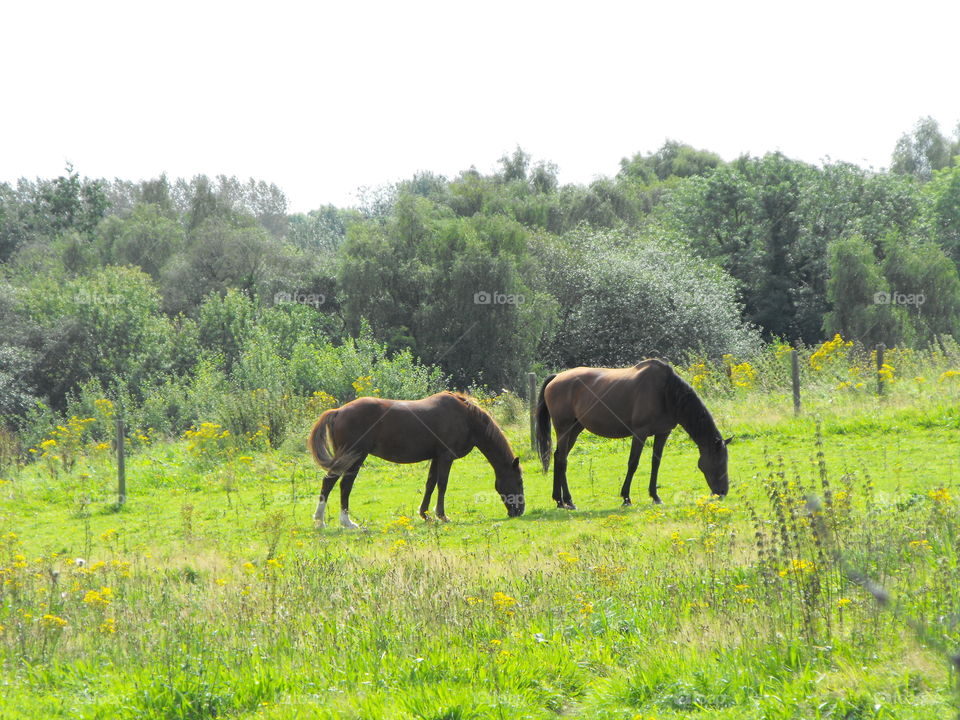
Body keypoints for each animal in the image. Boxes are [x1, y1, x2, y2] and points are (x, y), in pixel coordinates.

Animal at [310, 390, 524, 524]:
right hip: (355, 456)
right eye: (519, 482)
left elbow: (430, 484)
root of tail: (338, 411)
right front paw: (442, 515)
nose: (519, 511)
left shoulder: (436, 457)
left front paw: (425, 515)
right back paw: (336, 522)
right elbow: (442, 484)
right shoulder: (446, 457)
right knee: (338, 484)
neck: (466, 418)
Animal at [536, 358, 732, 506]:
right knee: (562, 460)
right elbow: (633, 463)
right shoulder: (640, 433)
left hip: (575, 429)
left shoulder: (663, 433)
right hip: (564, 428)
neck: (665, 392)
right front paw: (626, 498)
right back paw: (567, 501)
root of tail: (556, 378)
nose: (723, 492)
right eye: (718, 462)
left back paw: (560, 500)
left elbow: (656, 463)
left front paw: (655, 496)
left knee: (558, 457)